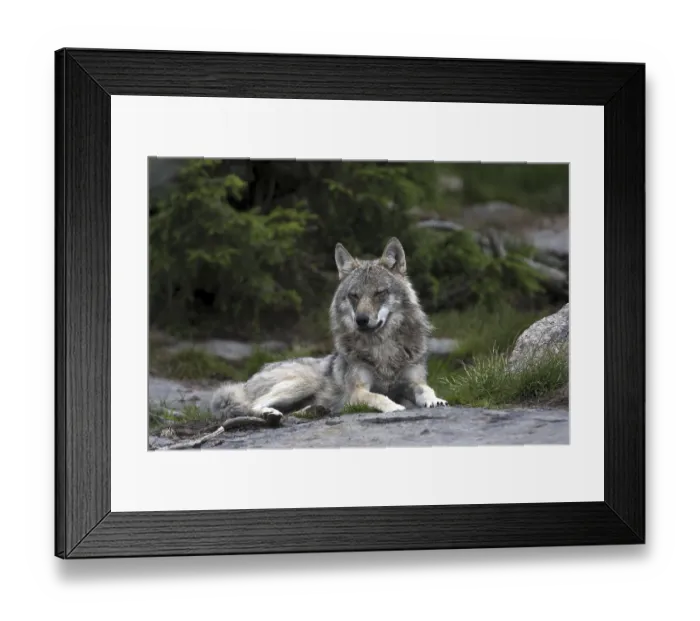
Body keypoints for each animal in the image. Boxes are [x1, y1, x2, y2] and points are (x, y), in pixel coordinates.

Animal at [210, 237, 448, 424]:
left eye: (379, 293)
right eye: (354, 295)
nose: (361, 320)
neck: (382, 349)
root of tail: (247, 381)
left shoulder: (413, 382)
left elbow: (426, 389)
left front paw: (435, 400)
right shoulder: (356, 392)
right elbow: (379, 397)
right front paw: (394, 407)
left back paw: (313, 410)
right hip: (303, 382)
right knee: (253, 405)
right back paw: (270, 414)